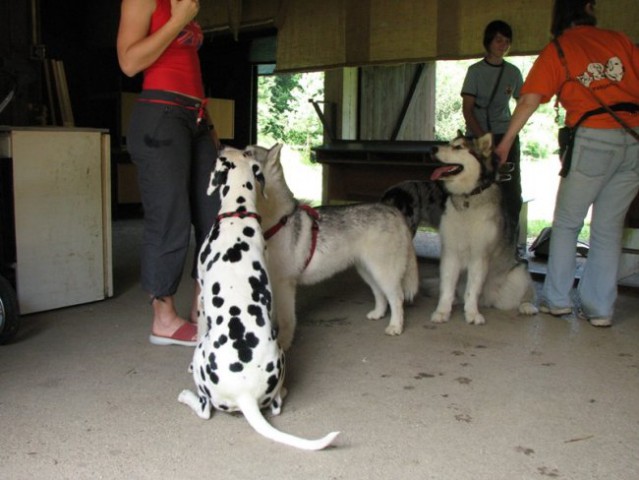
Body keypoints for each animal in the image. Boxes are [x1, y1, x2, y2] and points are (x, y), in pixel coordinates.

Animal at [180, 146, 340, 450]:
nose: (222, 145)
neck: (238, 214)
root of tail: (246, 395)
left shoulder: (202, 299)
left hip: (203, 363)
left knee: (205, 408)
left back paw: (187, 397)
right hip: (280, 362)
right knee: (277, 405)